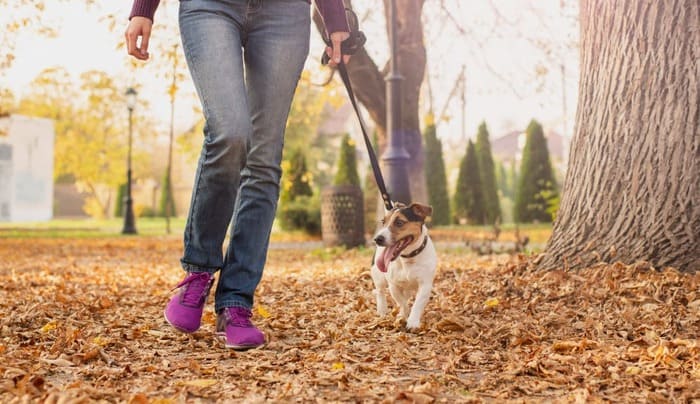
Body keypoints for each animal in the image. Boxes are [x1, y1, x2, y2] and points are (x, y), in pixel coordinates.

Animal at [370, 202, 434, 332]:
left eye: (399, 222)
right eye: (383, 222)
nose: (377, 239)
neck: (407, 259)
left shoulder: (425, 285)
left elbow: (417, 303)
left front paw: (413, 321)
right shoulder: (393, 285)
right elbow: (402, 303)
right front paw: (403, 315)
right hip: (378, 276)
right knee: (380, 291)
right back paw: (382, 310)